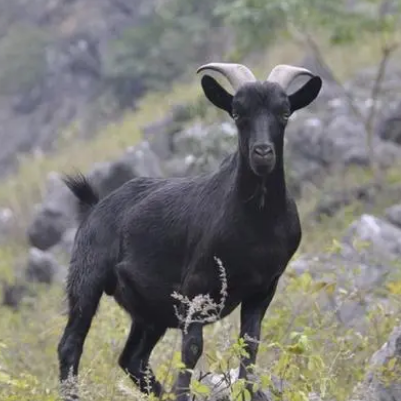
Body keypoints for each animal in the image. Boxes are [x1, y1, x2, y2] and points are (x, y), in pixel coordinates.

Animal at [57, 61, 322, 398]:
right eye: (237, 113)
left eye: (285, 112)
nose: (262, 153)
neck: (255, 225)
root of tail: (93, 206)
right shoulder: (195, 288)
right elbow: (193, 348)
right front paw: (184, 392)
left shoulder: (263, 288)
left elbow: (250, 343)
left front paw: (251, 391)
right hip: (86, 278)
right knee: (71, 344)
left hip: (149, 312)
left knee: (132, 358)